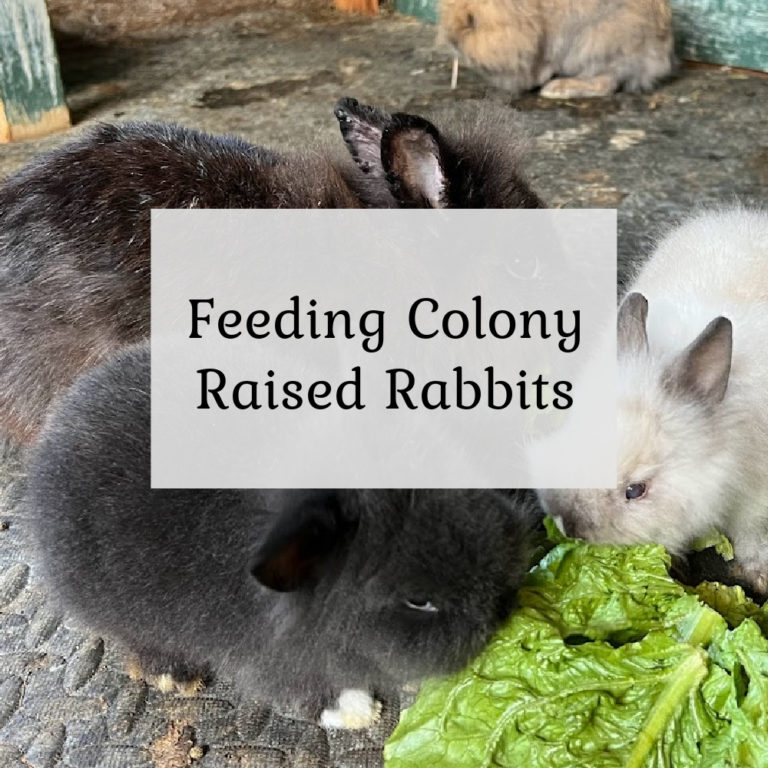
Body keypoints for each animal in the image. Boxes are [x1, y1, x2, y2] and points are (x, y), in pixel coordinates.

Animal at [26, 340, 538, 725]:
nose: (504, 606)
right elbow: (304, 691)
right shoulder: (271, 660)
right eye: (418, 602)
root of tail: (55, 431)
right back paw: (177, 676)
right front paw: (357, 711)